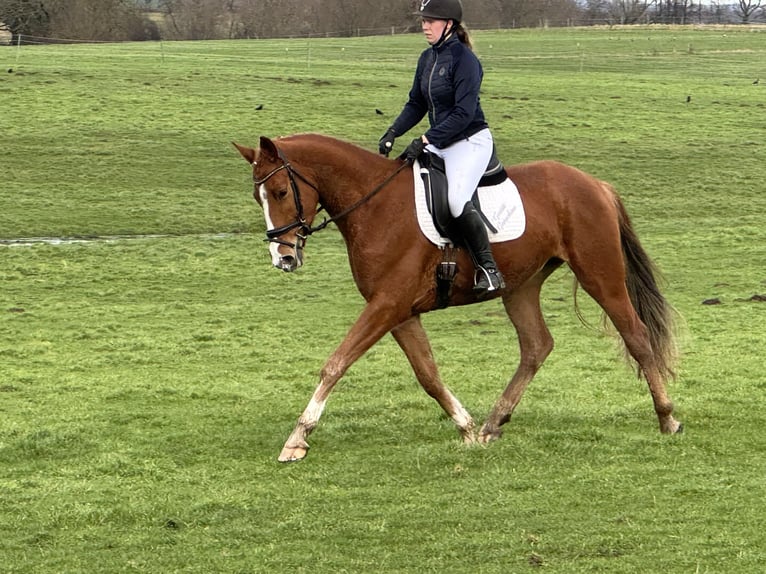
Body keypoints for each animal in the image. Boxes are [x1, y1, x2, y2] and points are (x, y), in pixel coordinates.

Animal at [234, 134, 684, 464]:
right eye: (258, 197)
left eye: (279, 191)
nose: (283, 257)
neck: (376, 205)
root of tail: (596, 185)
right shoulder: (400, 313)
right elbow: (428, 375)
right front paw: (465, 428)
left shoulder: (386, 305)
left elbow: (335, 363)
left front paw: (297, 438)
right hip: (521, 287)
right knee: (536, 346)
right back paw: (492, 423)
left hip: (600, 276)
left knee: (636, 336)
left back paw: (667, 418)